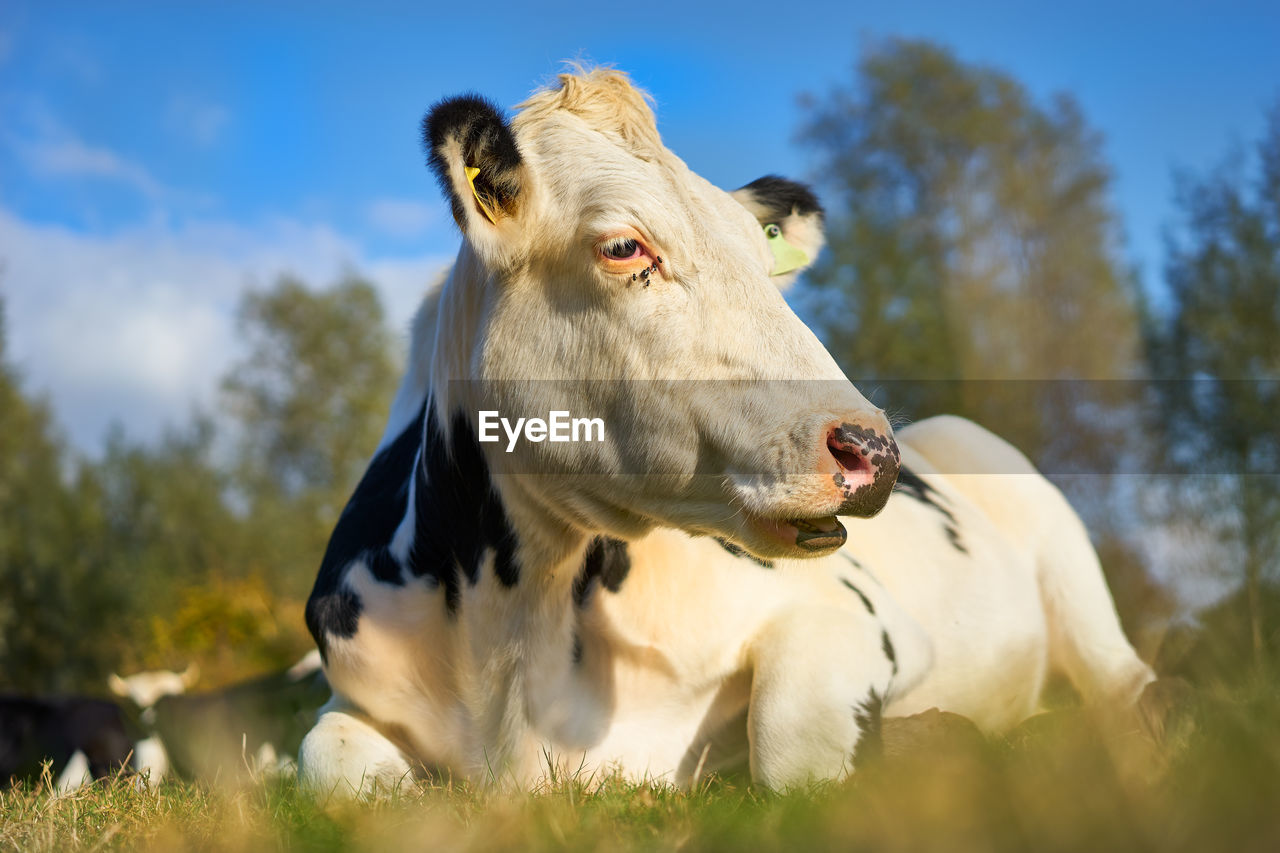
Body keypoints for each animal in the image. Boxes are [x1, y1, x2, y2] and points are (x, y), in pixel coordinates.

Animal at [294, 69, 1157, 794]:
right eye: (623, 246)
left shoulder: (858, 615)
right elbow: (331, 765)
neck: (514, 651)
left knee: (1117, 672)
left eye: (760, 260)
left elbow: (792, 747)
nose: (871, 450)